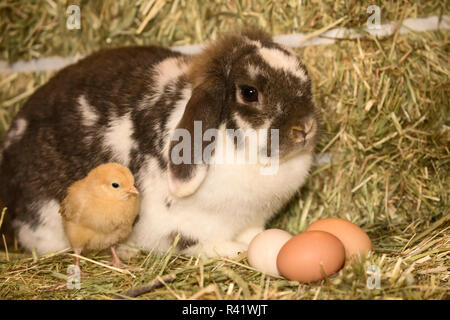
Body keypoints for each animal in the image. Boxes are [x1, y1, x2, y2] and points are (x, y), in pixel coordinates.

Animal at [0, 30, 318, 258]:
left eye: (306, 78)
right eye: (249, 92)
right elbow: (194, 243)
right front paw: (233, 250)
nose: (305, 128)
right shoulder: (177, 224)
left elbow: (254, 233)